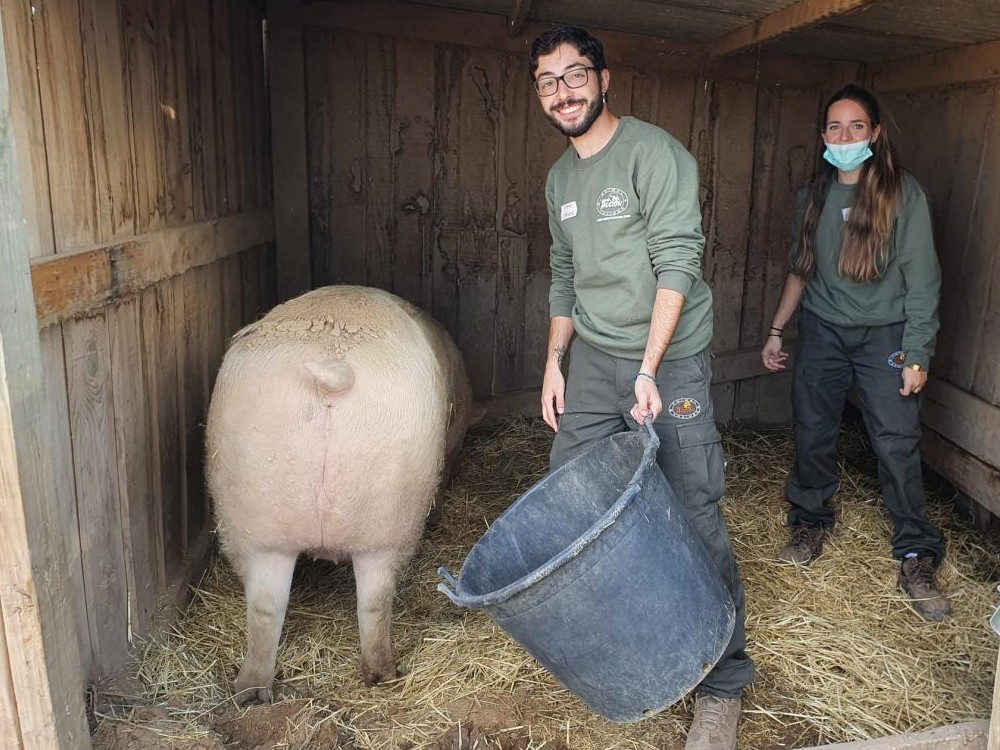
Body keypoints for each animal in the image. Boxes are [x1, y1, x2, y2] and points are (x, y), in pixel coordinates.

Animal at [205, 284, 479, 703]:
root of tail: (332, 374)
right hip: (393, 516)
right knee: (376, 601)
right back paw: (384, 675)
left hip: (253, 515)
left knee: (266, 605)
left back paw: (251, 691)